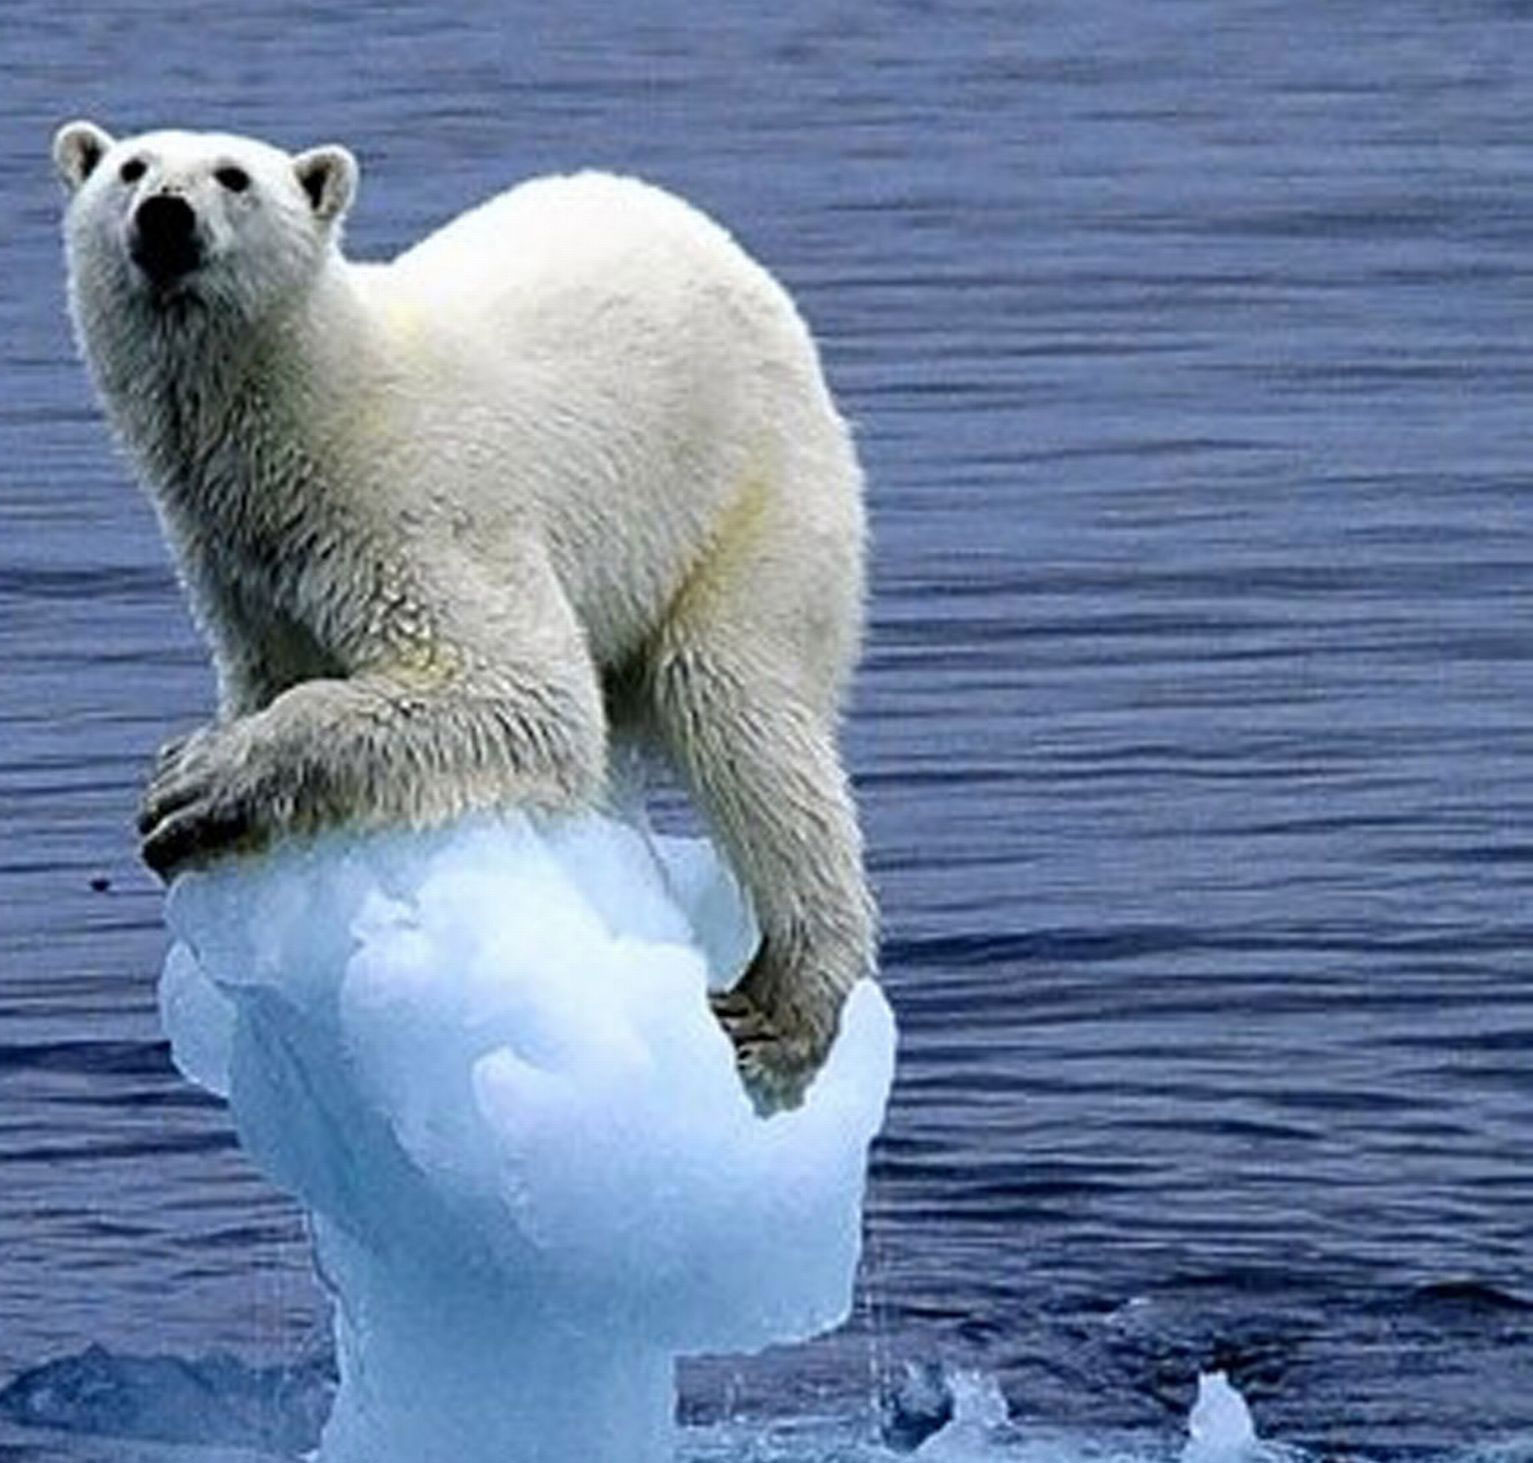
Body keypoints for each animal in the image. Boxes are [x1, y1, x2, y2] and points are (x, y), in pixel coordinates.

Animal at [52, 121, 876, 1113]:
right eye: (130, 167)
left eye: (233, 176)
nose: (165, 216)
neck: (311, 402)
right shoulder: (242, 565)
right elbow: (276, 670)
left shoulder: (407, 506)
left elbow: (515, 687)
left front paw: (192, 782)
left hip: (753, 490)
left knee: (742, 713)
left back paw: (782, 1011)